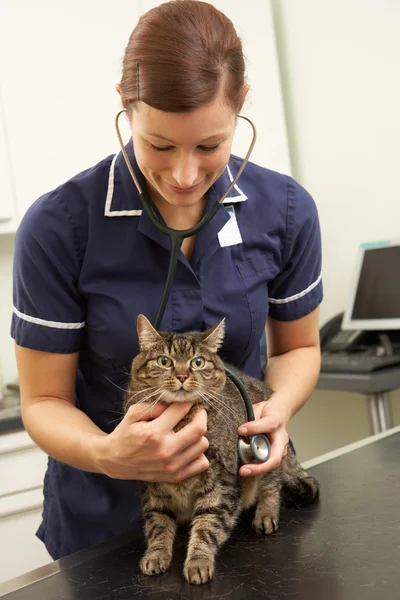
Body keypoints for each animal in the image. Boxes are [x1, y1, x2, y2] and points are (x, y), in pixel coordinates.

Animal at [125, 316, 318, 584]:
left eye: (197, 362)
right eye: (164, 361)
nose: (182, 375)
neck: (180, 422)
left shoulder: (221, 484)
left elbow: (208, 525)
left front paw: (198, 561)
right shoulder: (151, 485)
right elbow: (158, 523)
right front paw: (156, 554)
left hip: (267, 458)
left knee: (273, 486)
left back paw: (265, 515)